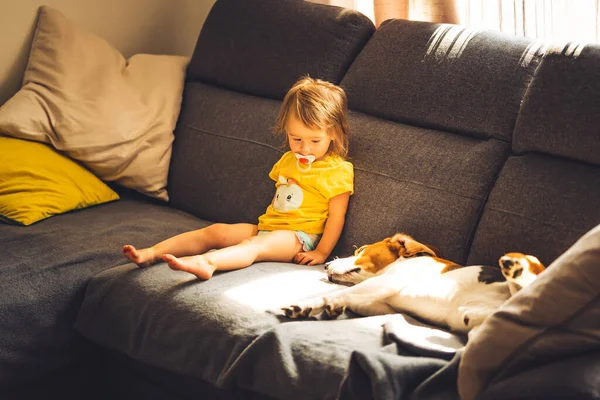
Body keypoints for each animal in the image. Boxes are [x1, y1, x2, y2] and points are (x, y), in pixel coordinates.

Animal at [282, 233, 544, 340]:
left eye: (360, 250)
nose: (326, 265)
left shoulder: (385, 283)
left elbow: (335, 293)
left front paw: (305, 305)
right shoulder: (380, 302)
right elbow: (345, 297)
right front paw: (335, 306)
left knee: (531, 275)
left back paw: (517, 265)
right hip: (478, 329)